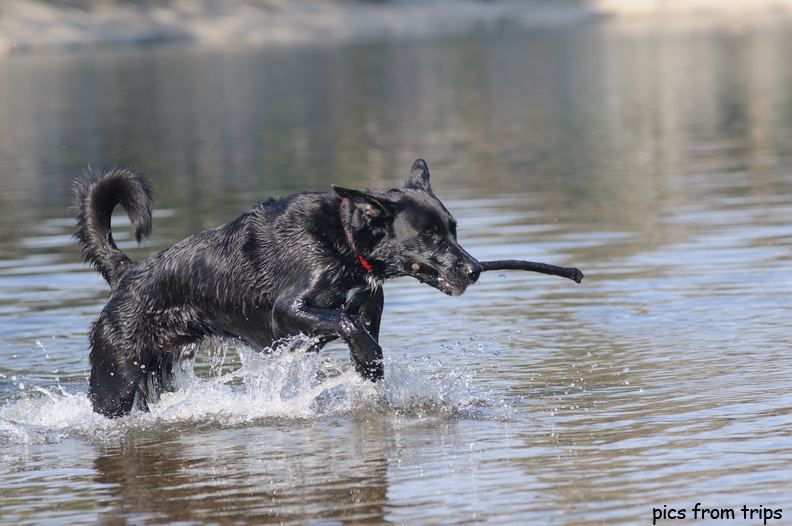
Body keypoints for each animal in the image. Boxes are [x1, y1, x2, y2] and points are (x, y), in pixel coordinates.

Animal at [76, 159, 482, 418]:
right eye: (428, 234)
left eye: (453, 229)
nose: (475, 269)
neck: (345, 241)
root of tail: (128, 272)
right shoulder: (287, 312)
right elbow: (347, 323)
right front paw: (369, 359)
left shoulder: (367, 311)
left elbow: (358, 331)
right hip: (116, 378)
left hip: (157, 375)